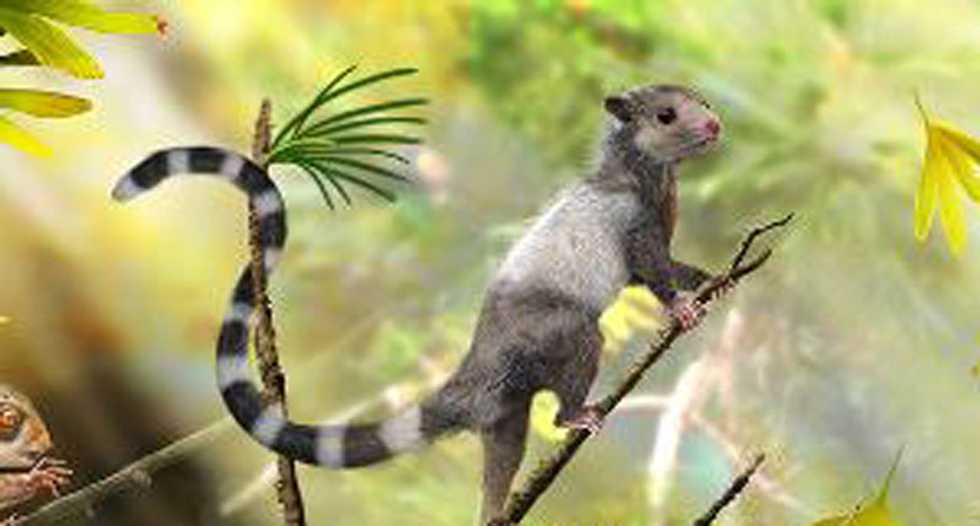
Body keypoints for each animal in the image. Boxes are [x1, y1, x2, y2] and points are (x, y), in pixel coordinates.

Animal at [111, 83, 723, 524]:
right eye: (666, 115)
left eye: (705, 101)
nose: (716, 124)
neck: (643, 175)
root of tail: (480, 369)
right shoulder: (634, 225)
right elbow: (650, 273)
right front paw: (680, 306)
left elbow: (665, 269)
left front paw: (710, 278)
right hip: (551, 334)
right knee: (580, 347)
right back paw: (575, 414)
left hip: (505, 416)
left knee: (503, 457)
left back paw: (495, 512)